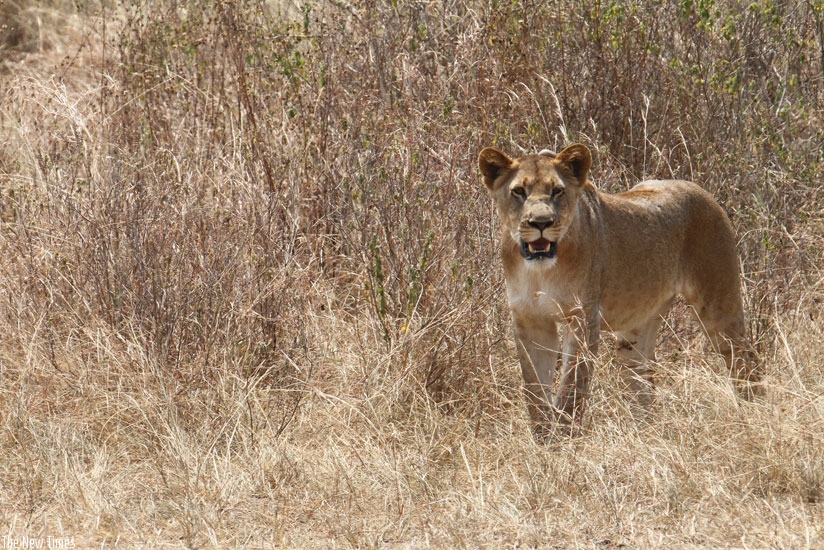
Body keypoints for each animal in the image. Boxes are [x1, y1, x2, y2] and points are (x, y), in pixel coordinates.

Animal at [478, 143, 760, 437]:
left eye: (557, 191)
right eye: (518, 191)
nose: (541, 223)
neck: (540, 271)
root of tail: (701, 191)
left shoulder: (583, 316)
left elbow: (571, 388)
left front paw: (565, 438)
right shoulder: (529, 319)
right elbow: (534, 390)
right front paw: (544, 439)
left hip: (719, 308)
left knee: (747, 363)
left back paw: (753, 419)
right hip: (637, 330)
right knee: (642, 387)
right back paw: (647, 436)